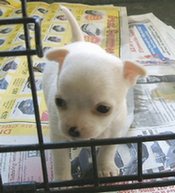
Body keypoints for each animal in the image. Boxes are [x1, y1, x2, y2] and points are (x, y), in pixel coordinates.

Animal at [42, 6, 146, 181]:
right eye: (59, 102)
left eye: (104, 109)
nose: (72, 130)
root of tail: (79, 42)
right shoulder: (58, 135)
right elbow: (61, 160)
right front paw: (62, 179)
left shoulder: (115, 131)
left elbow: (107, 151)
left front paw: (106, 168)